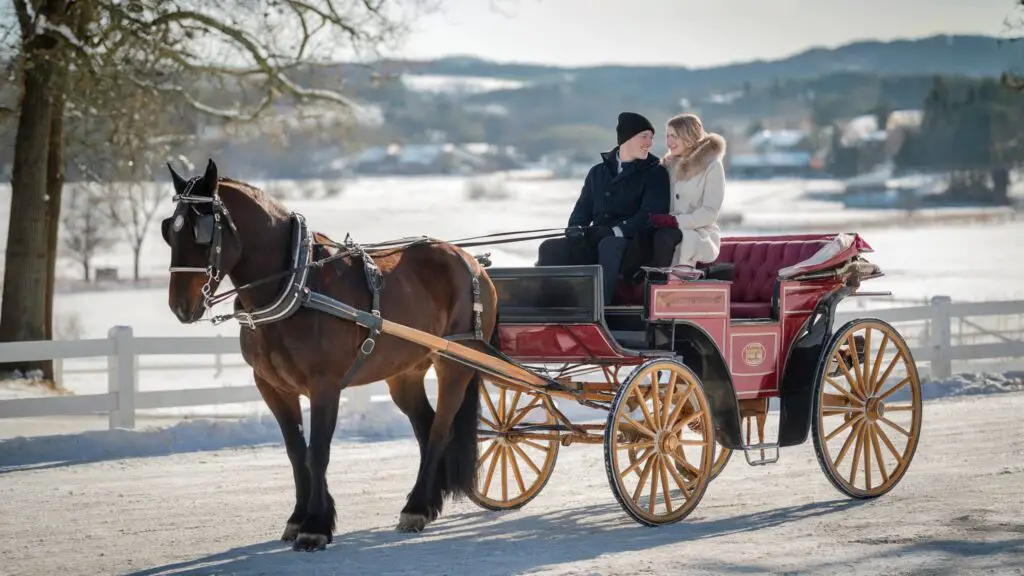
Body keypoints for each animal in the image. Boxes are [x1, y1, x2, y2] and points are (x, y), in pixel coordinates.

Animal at [157, 158, 497, 549]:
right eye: (169, 230)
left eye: (201, 231)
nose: (180, 306)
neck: (296, 285)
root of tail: (472, 262)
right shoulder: (272, 387)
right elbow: (295, 451)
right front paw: (297, 518)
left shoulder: (325, 386)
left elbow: (318, 452)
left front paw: (315, 526)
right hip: (405, 373)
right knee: (426, 428)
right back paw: (422, 505)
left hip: (455, 364)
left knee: (441, 429)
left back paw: (415, 508)